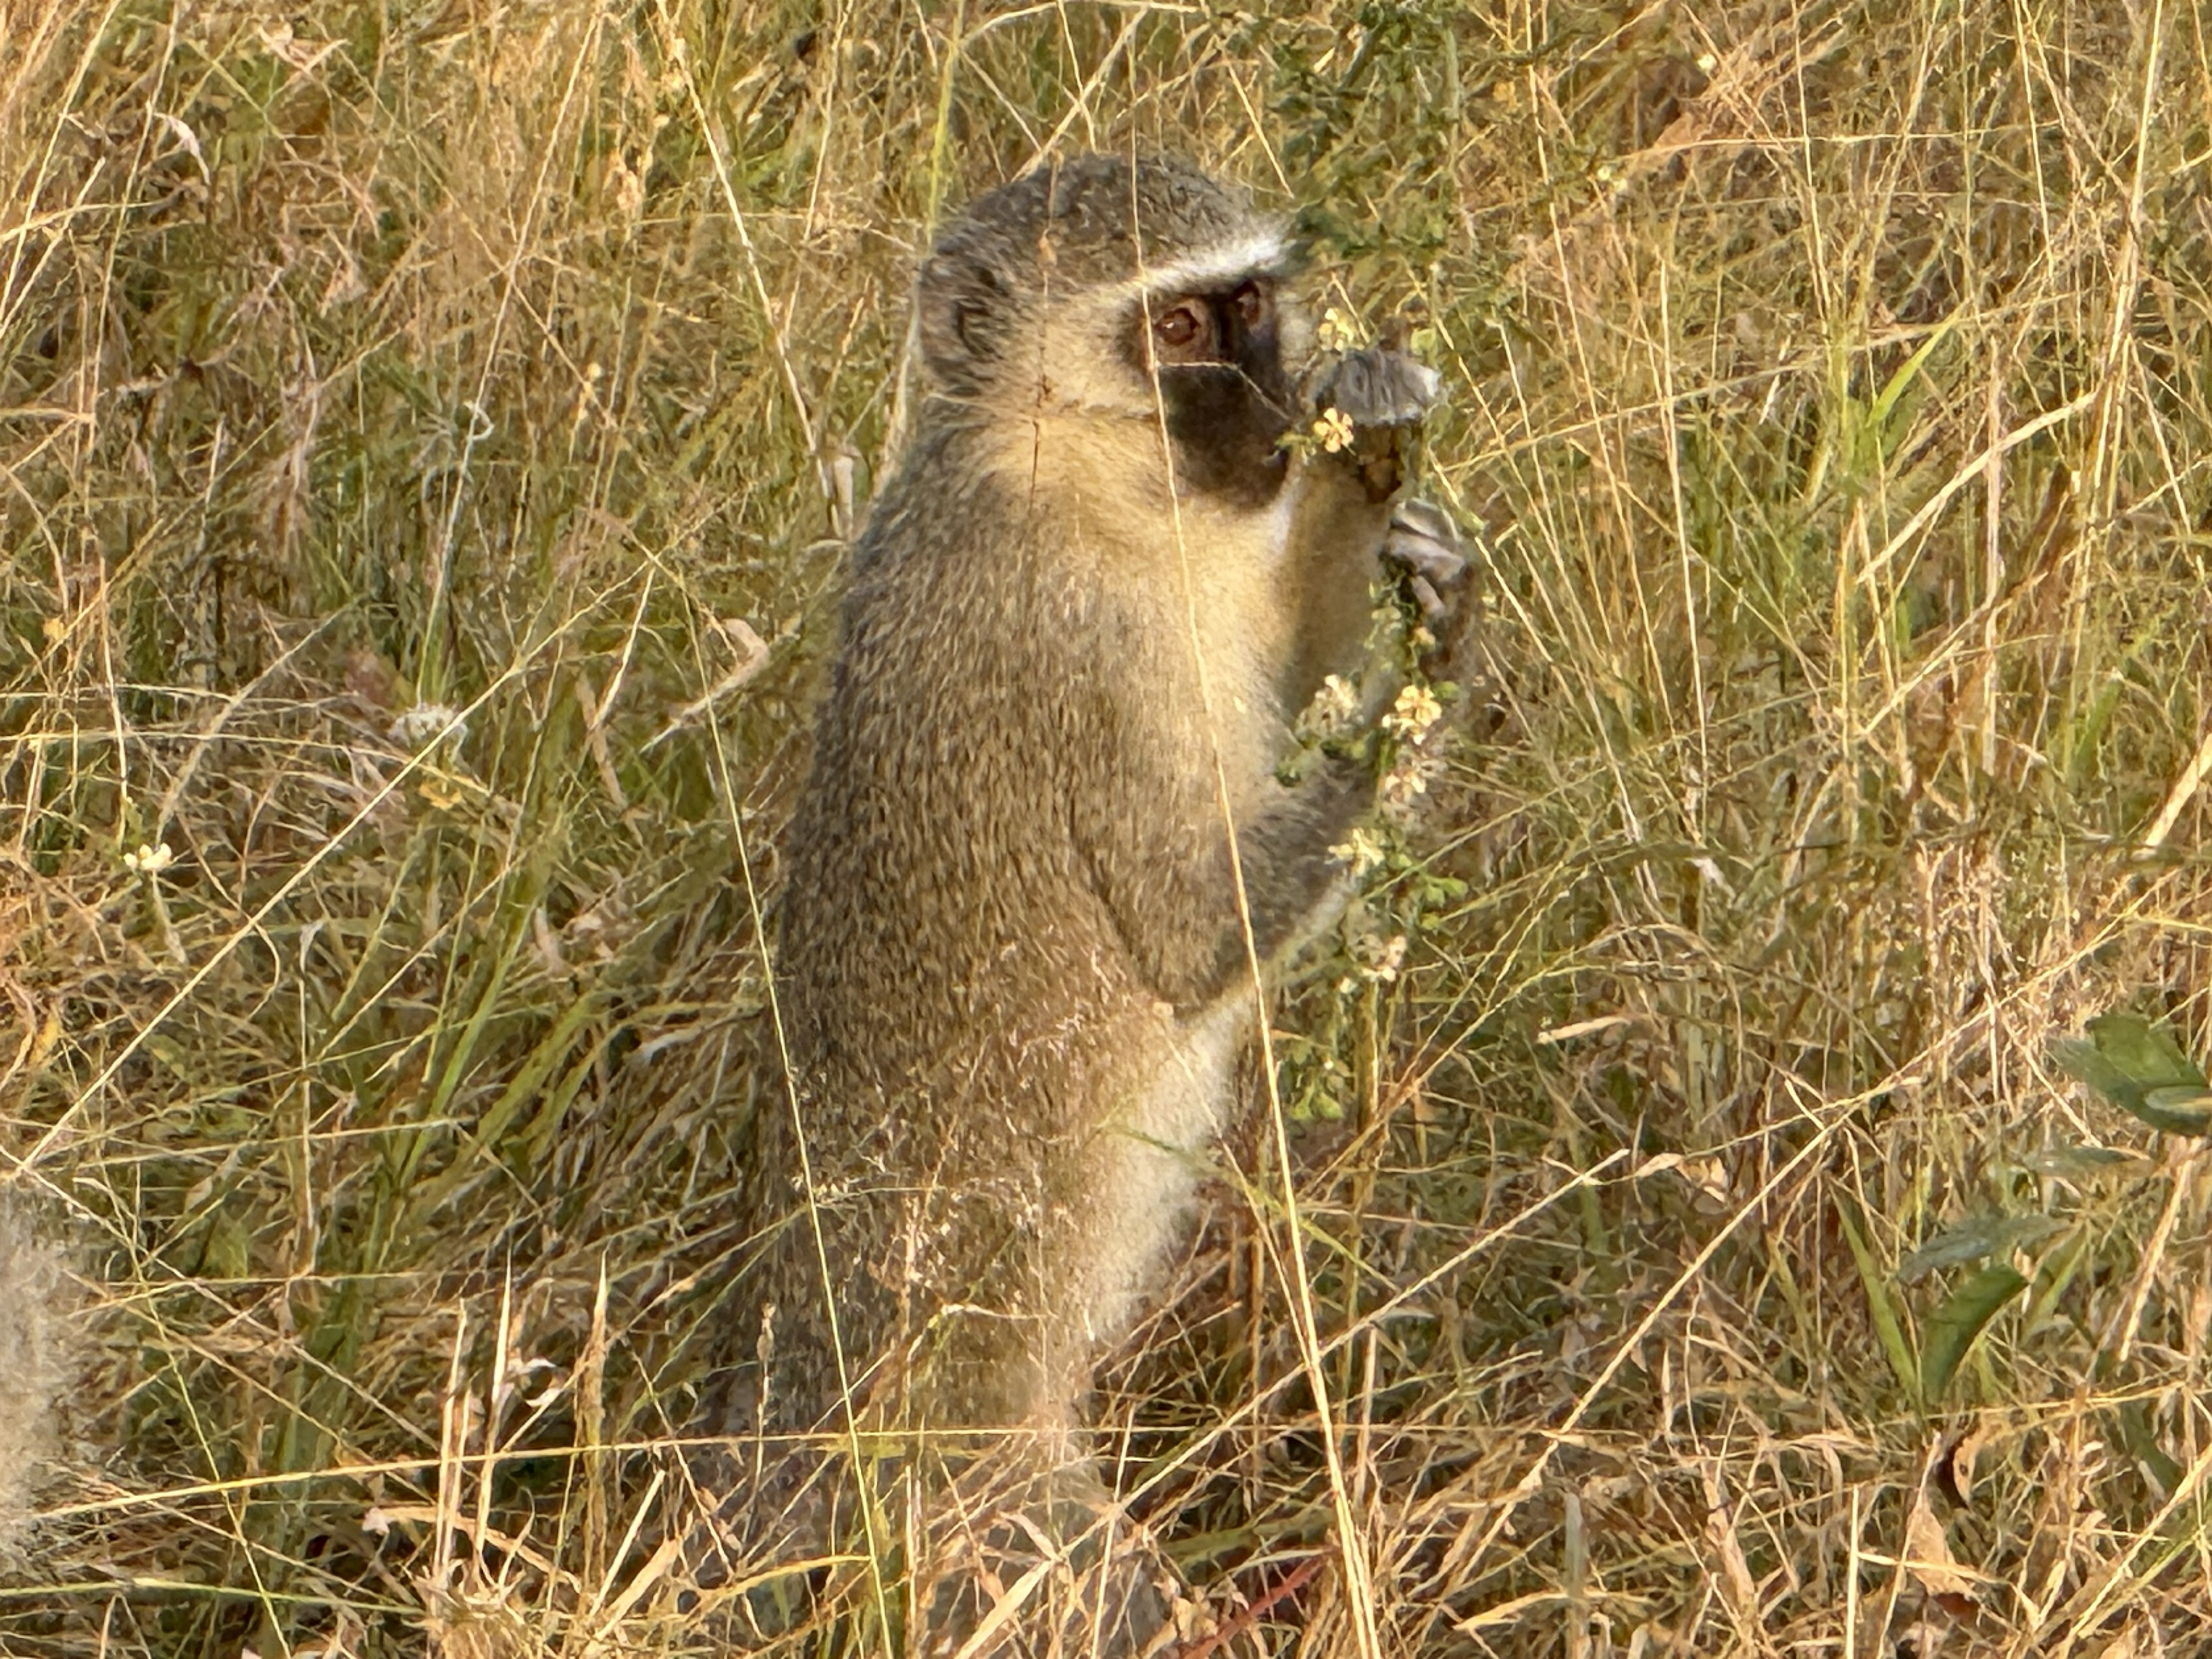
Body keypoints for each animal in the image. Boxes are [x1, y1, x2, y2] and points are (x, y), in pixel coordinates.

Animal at [731, 153, 1465, 1652]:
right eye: (1175, 332)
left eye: (1249, 309)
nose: (1268, 413)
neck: (1063, 470)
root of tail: (794, 1425)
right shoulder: (1087, 644)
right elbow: (1192, 937)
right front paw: (1423, 688)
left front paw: (1377, 456)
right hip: (981, 1511)